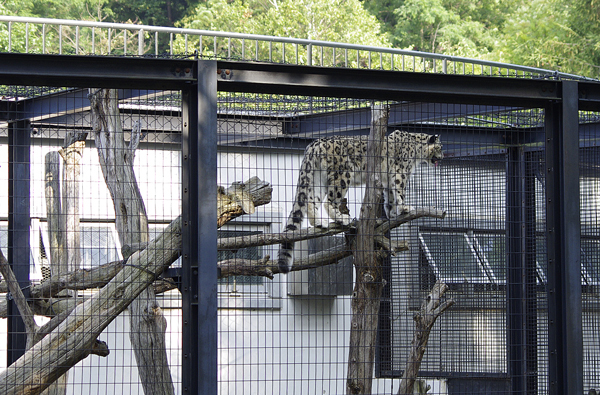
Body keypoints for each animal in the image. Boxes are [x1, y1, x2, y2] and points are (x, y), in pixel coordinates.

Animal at [278, 131, 442, 274]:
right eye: (439, 147)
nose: (442, 157)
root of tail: (314, 143)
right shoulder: (400, 173)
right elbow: (400, 192)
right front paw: (404, 208)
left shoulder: (387, 179)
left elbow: (390, 196)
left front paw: (392, 212)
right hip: (342, 175)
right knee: (329, 201)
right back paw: (342, 218)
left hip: (319, 179)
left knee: (311, 202)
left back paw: (320, 222)